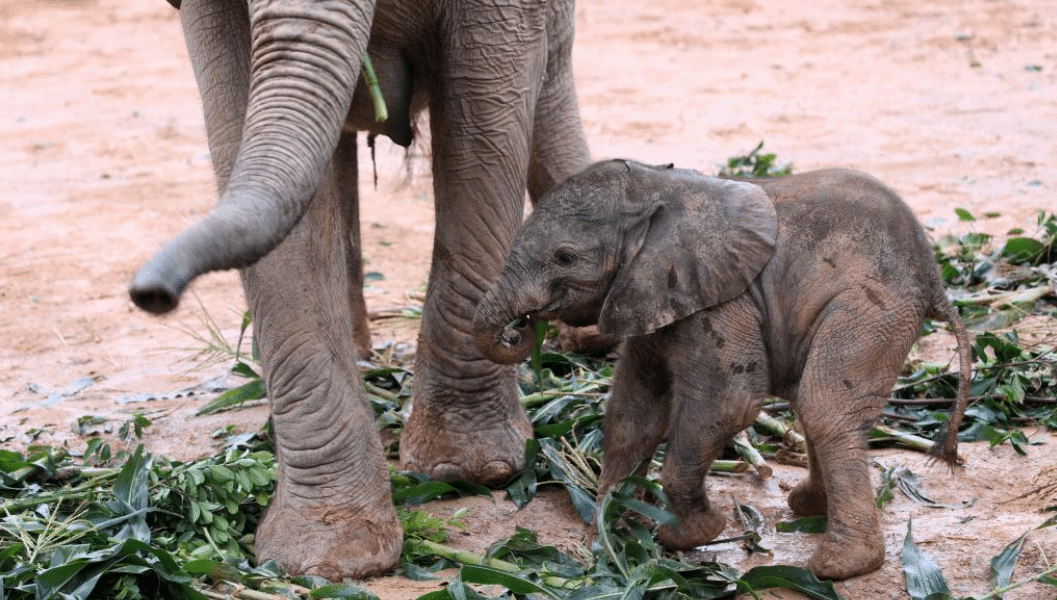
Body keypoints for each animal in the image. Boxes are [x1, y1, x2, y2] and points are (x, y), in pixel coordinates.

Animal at [130, 0, 587, 583]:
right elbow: (247, 136)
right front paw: (327, 560)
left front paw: (468, 471)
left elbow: (485, 135)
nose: (152, 294)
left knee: (552, 77)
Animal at [475, 160, 968, 583]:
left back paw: (839, 567)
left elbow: (729, 402)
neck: (661, 188)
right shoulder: (650, 298)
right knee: (813, 403)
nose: (524, 326)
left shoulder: (722, 302)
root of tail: (934, 278)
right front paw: (611, 534)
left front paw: (687, 535)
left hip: (872, 307)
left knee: (824, 406)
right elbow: (632, 413)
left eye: (565, 258)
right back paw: (808, 508)